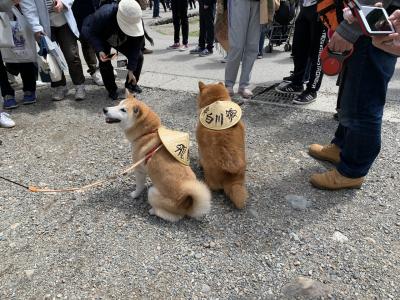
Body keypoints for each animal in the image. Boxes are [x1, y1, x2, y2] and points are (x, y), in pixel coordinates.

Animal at [103, 94, 212, 223]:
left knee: (173, 216)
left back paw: (153, 211)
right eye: (118, 104)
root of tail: (186, 204)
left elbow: (139, 186)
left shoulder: (139, 170)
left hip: (152, 192)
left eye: (123, 110)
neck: (148, 133)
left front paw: (134, 194)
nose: (105, 109)